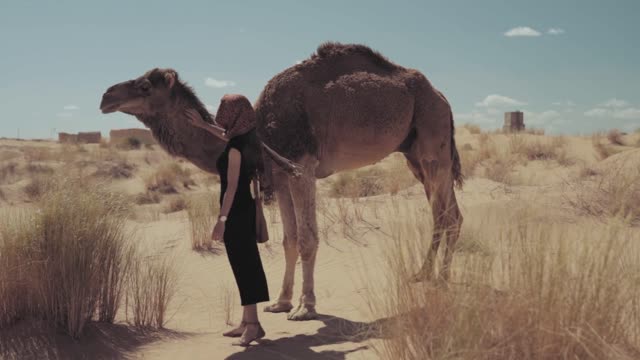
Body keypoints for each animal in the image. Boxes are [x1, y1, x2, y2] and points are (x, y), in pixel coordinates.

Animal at [100, 42, 462, 320]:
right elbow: (289, 239)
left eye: (146, 86)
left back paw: (441, 280)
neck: (257, 130)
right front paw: (281, 301)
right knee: (446, 213)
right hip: (414, 153)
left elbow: (307, 239)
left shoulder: (302, 167)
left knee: (446, 213)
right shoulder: (281, 176)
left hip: (433, 141)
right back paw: (423, 274)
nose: (105, 96)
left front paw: (306, 307)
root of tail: (442, 96)